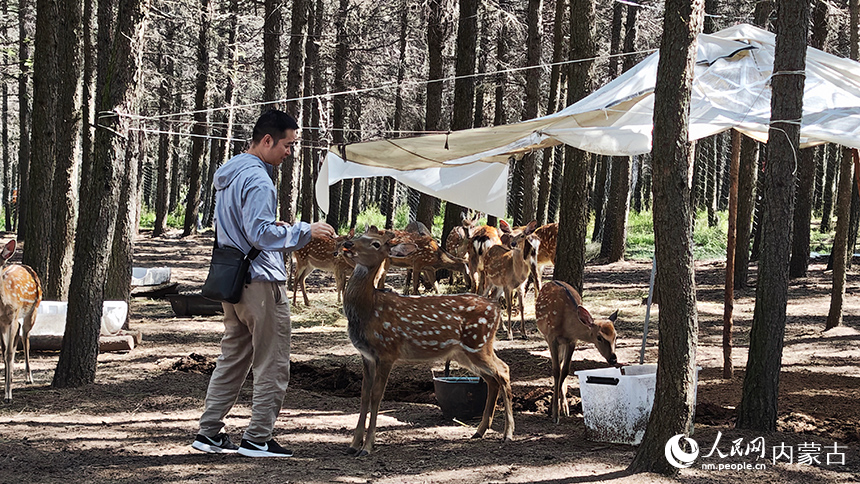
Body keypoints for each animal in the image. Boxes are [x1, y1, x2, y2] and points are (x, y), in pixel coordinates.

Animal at [0, 240, 42, 403]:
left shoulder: (13, 317)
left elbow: (9, 353)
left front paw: (8, 395)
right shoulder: (1, 322)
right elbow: (4, 351)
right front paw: (7, 386)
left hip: (33, 309)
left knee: (25, 337)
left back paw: (29, 377)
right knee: (18, 335)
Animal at [340, 226, 514, 456]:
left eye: (376, 243)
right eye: (360, 236)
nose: (348, 244)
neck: (368, 308)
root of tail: (495, 308)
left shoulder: (387, 351)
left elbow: (377, 395)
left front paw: (368, 446)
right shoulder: (366, 355)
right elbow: (364, 394)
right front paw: (353, 445)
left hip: (478, 343)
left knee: (503, 371)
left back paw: (508, 433)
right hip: (465, 352)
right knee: (492, 379)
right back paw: (479, 431)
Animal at [535, 280, 618, 424]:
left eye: (616, 336)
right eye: (599, 337)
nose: (613, 358)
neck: (566, 325)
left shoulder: (573, 340)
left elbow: (565, 370)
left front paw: (558, 409)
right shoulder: (551, 337)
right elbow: (556, 371)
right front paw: (554, 414)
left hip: (563, 344)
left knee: (562, 365)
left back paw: (565, 408)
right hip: (547, 335)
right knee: (558, 365)